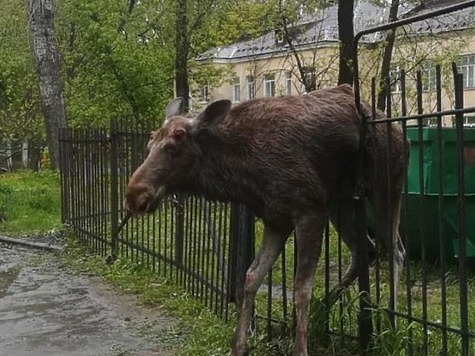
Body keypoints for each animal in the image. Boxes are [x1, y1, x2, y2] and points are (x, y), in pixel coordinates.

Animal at [124, 85, 408, 354]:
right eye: (149, 144)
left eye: (174, 146)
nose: (134, 195)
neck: (241, 173)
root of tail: (396, 128)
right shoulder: (276, 219)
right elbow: (251, 277)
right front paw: (239, 345)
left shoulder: (309, 211)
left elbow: (301, 289)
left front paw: (300, 348)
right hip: (342, 203)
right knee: (365, 251)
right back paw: (322, 312)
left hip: (385, 189)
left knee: (396, 251)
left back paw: (392, 322)